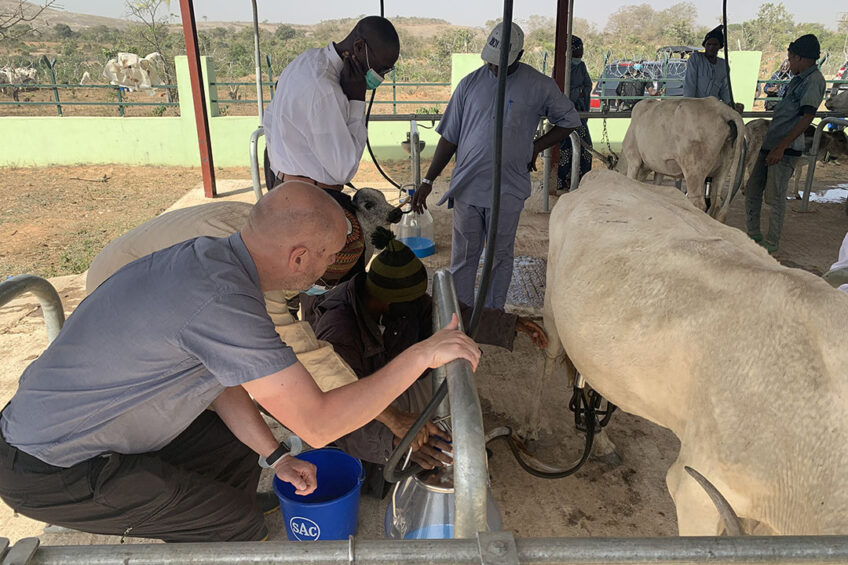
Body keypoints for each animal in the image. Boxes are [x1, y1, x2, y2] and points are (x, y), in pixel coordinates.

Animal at [540, 170, 844, 536]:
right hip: (552, 312)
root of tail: (603, 174)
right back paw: (533, 431)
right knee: (550, 359)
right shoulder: (698, 489)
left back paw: (600, 442)